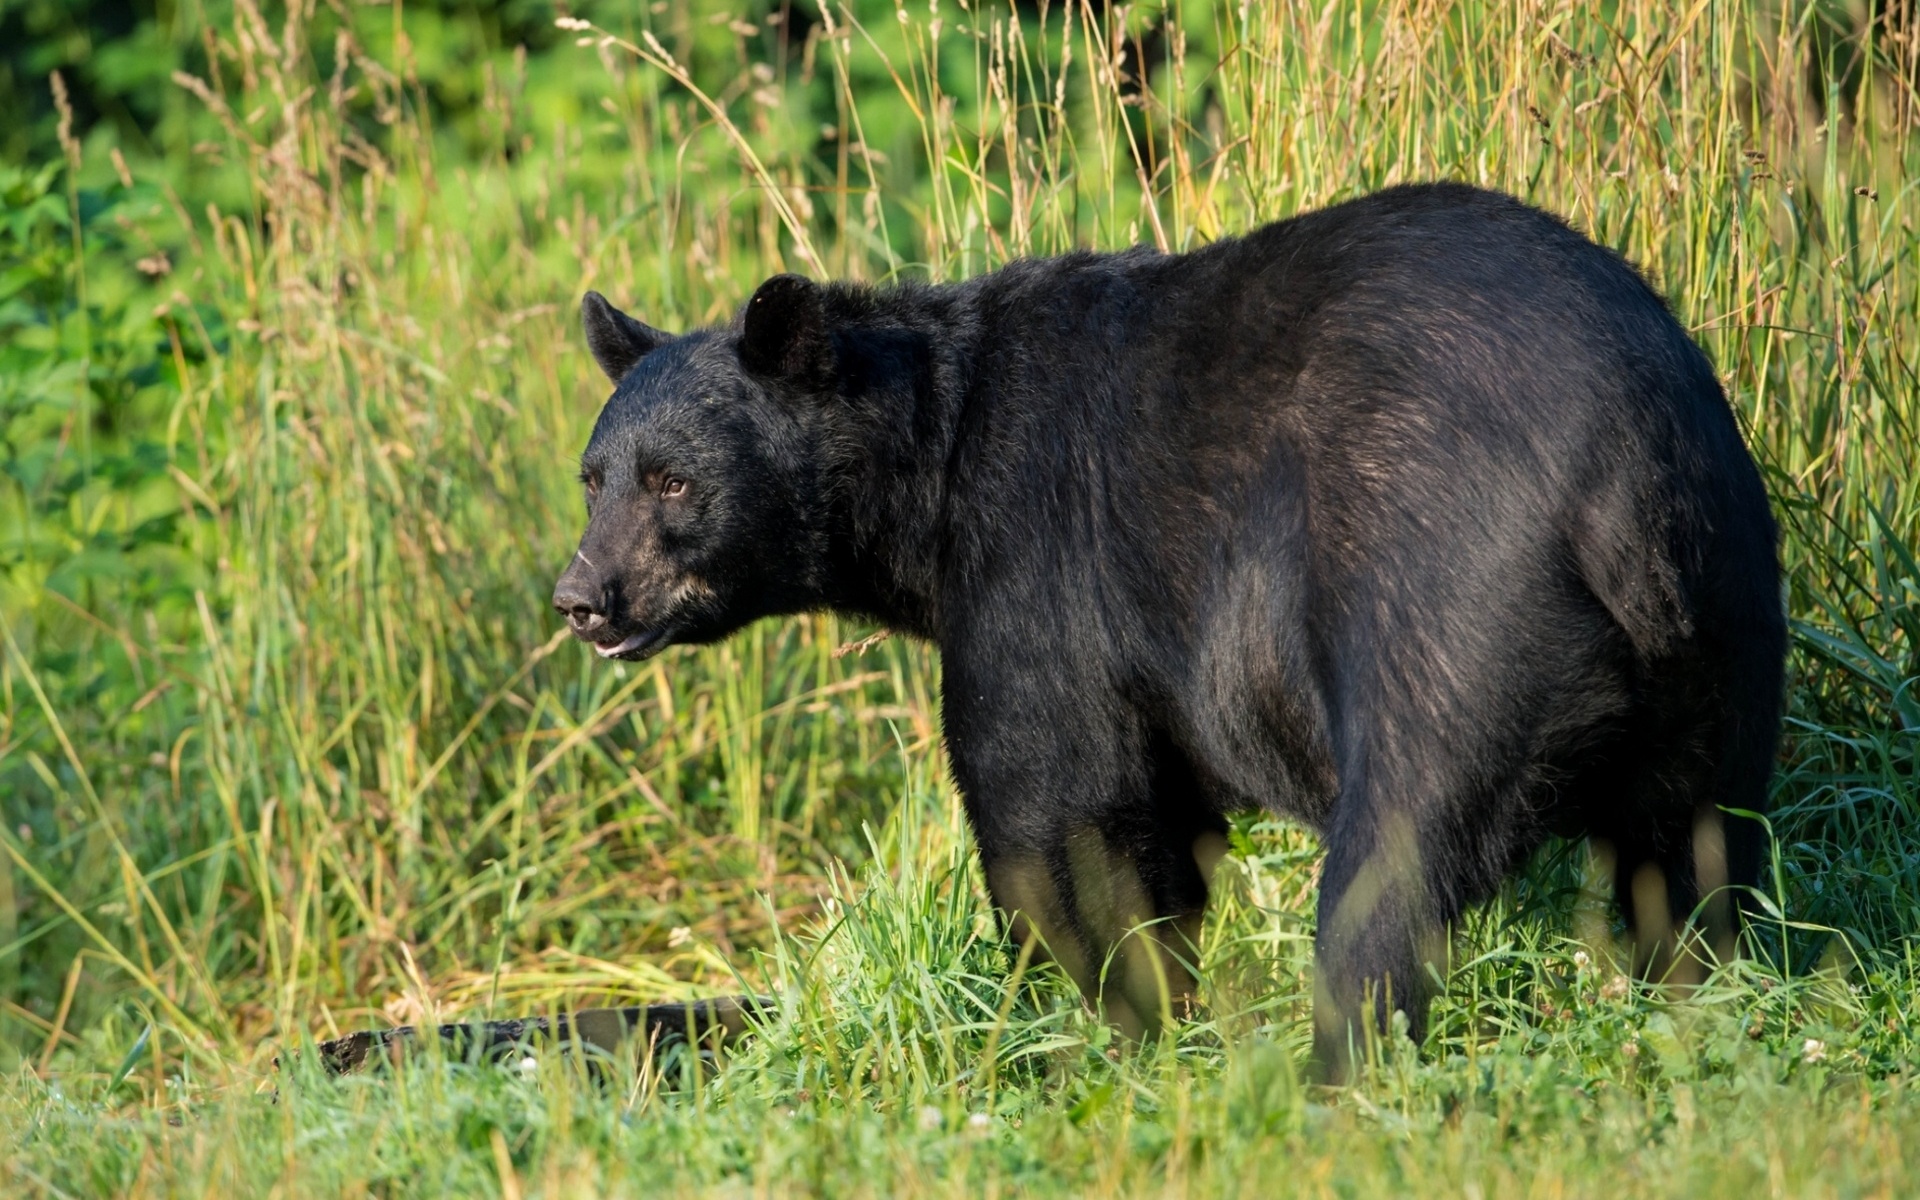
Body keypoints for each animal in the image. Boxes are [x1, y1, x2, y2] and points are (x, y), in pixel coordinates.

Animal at [552, 185, 1781, 1075]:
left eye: (672, 481)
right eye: (594, 476)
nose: (581, 596)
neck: (930, 473)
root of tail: (1617, 479)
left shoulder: (1040, 561)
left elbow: (1058, 809)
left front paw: (1107, 1024)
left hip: (1442, 606)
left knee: (1394, 859)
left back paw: (1337, 1069)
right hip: (1722, 627)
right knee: (1698, 847)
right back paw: (1700, 996)